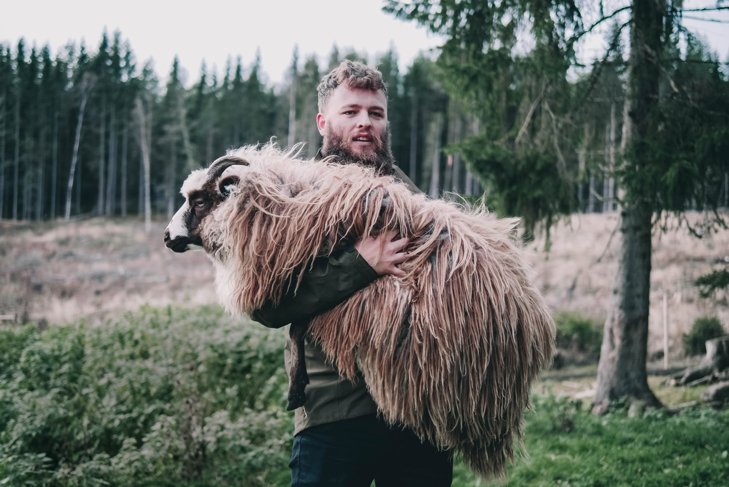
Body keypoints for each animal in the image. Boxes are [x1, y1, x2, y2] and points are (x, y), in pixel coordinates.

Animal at [164, 143, 552, 478]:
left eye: (199, 200)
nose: (167, 237)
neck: (282, 199)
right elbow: (296, 321)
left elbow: (298, 325)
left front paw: (296, 386)